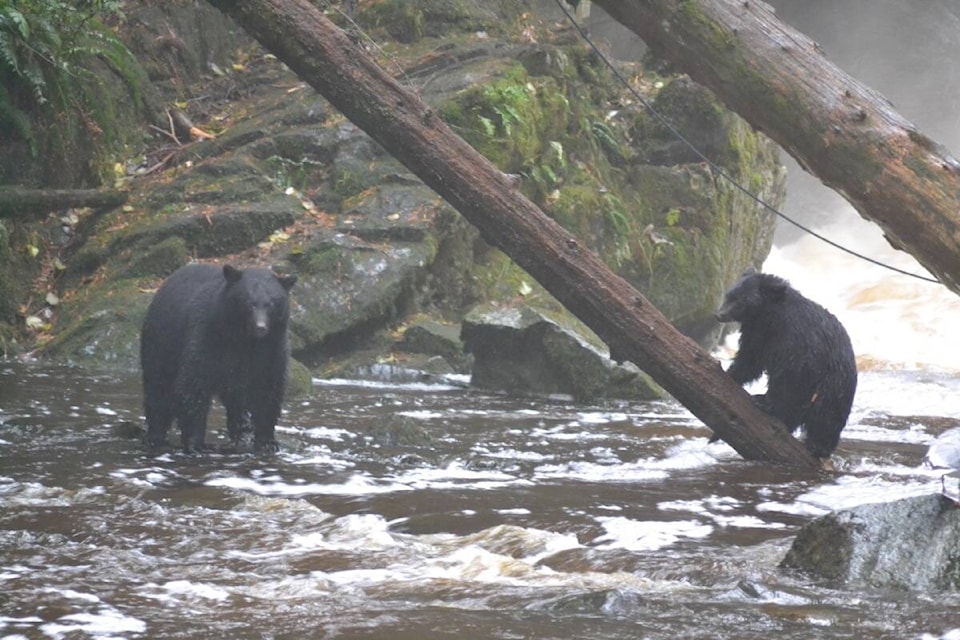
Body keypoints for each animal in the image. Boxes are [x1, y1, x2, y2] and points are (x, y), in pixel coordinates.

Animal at [140, 262, 296, 452]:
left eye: (271, 303)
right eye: (249, 302)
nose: (260, 327)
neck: (244, 338)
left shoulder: (272, 347)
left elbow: (268, 388)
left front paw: (267, 442)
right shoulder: (207, 335)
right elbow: (194, 384)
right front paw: (196, 443)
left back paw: (243, 430)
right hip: (161, 343)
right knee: (158, 389)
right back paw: (155, 436)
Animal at [716, 268, 860, 458]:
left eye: (740, 301)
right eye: (729, 295)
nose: (719, 315)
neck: (770, 317)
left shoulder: (797, 338)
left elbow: (790, 374)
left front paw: (765, 402)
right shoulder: (757, 333)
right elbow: (751, 358)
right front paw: (731, 373)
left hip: (834, 386)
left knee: (825, 416)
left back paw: (817, 446)